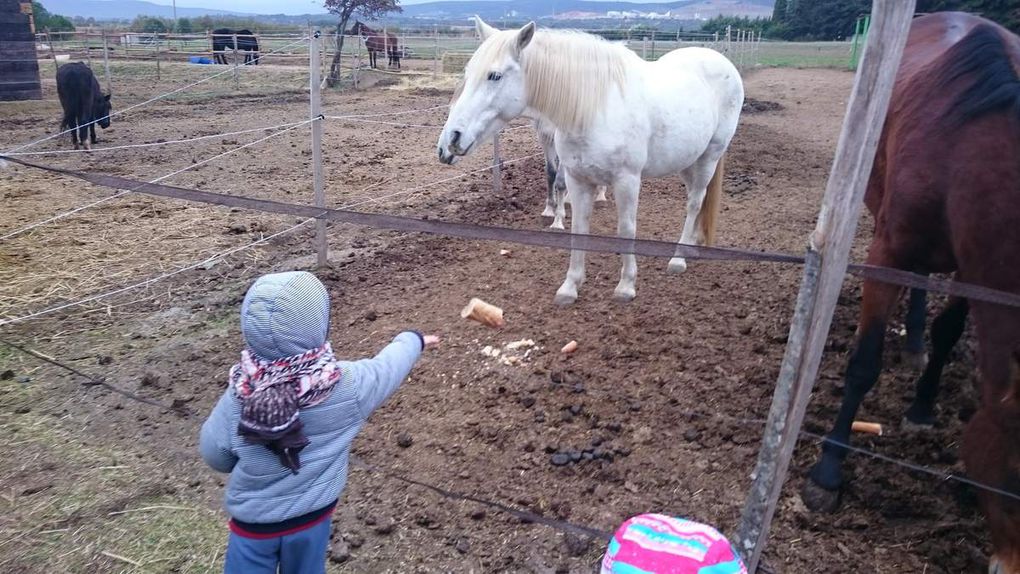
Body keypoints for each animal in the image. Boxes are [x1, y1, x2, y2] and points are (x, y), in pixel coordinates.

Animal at [438, 17, 742, 305]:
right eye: (467, 73)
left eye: (495, 75)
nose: (450, 140)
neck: (593, 109)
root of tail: (721, 61)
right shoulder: (578, 179)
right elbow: (578, 227)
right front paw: (570, 287)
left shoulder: (627, 181)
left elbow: (626, 228)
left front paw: (626, 286)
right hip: (688, 162)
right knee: (698, 199)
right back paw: (692, 245)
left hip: (710, 156)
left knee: (694, 203)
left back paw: (678, 259)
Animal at [799, 10, 1020, 570]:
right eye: (1014, 479)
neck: (969, 146)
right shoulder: (888, 251)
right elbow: (863, 363)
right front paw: (826, 474)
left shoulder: (973, 267)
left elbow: (948, 332)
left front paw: (921, 408)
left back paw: (917, 348)